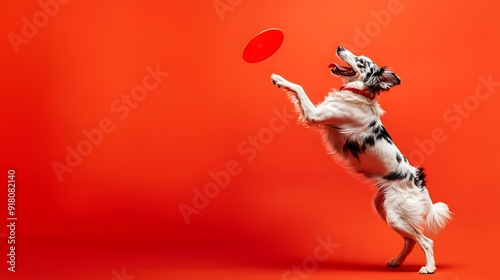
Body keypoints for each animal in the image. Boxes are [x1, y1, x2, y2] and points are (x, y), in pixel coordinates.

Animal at [272, 45, 452, 274]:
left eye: (361, 61)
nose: (339, 47)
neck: (359, 92)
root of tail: (419, 182)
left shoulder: (315, 114)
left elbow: (299, 87)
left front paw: (279, 79)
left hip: (396, 215)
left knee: (426, 241)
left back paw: (429, 268)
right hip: (387, 211)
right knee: (411, 240)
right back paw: (396, 262)